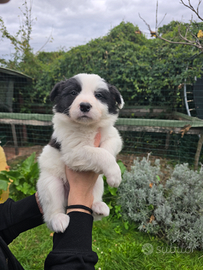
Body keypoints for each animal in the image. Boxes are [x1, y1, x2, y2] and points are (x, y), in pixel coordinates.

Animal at [37, 73, 124, 232]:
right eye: (73, 93)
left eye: (99, 95)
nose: (84, 106)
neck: (86, 127)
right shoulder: (74, 152)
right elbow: (98, 153)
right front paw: (115, 174)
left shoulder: (113, 136)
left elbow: (107, 149)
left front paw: (111, 171)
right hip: (50, 184)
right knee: (51, 213)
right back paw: (58, 219)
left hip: (98, 184)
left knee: (93, 203)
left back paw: (99, 206)